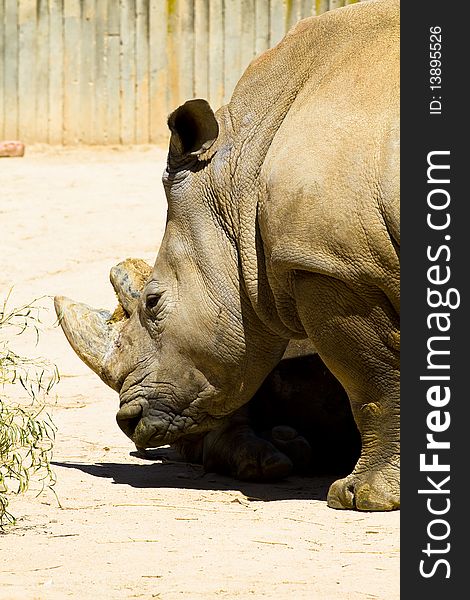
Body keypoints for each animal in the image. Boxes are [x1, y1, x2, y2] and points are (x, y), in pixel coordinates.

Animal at [56, 0, 400, 510]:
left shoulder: (333, 266)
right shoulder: (338, 261)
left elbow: (374, 377)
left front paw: (361, 498)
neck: (241, 169)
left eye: (153, 302)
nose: (127, 420)